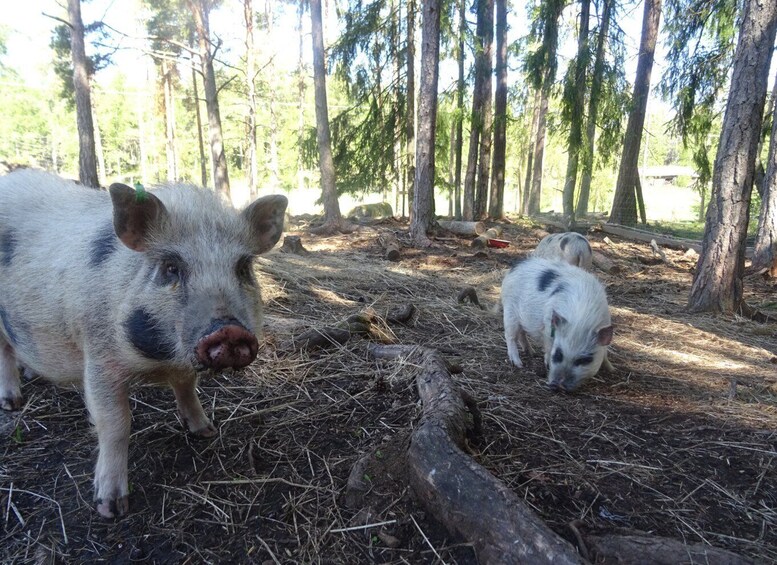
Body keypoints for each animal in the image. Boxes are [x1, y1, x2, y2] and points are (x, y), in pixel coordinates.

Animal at [0, 169, 287, 518]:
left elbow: (187, 389)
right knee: (3, 352)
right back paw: (11, 403)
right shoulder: (99, 356)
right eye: (170, 267)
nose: (229, 330)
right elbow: (115, 424)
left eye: (243, 268)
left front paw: (206, 430)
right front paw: (111, 507)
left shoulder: (182, 364)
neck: (160, 359)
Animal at [501, 257, 613, 392]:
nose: (557, 385)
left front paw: (612, 369)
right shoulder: (548, 327)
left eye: (584, 360)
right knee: (510, 336)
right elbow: (548, 346)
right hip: (509, 310)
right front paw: (547, 364)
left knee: (521, 333)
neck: (581, 318)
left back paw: (531, 352)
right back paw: (518, 364)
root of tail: (516, 266)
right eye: (558, 354)